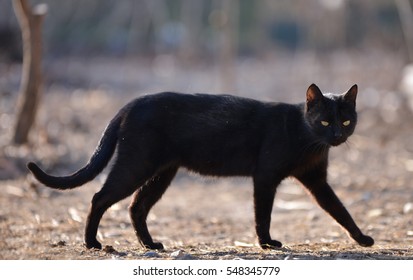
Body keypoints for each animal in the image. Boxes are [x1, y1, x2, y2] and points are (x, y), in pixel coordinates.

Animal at [26, 83, 374, 249]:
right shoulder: (265, 176)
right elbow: (263, 213)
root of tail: (130, 104)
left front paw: (362, 239)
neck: (310, 142)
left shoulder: (316, 181)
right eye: (324, 121)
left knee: (137, 207)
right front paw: (266, 243)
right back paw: (93, 243)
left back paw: (151, 244)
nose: (337, 135)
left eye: (346, 120)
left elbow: (340, 210)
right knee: (100, 197)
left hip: (161, 172)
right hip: (137, 165)